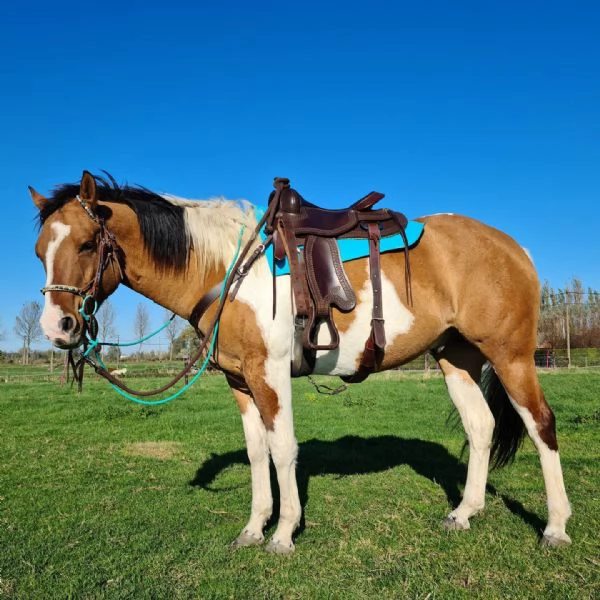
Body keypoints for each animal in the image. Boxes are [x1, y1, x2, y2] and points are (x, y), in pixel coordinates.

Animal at [29, 169, 572, 552]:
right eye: (38, 253)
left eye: (86, 244)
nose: (58, 328)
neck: (227, 268)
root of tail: (514, 248)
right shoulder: (240, 381)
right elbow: (257, 453)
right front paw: (253, 529)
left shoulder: (269, 375)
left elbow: (283, 449)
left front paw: (284, 533)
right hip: (456, 356)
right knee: (481, 427)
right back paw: (464, 513)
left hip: (510, 356)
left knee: (541, 425)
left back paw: (555, 527)